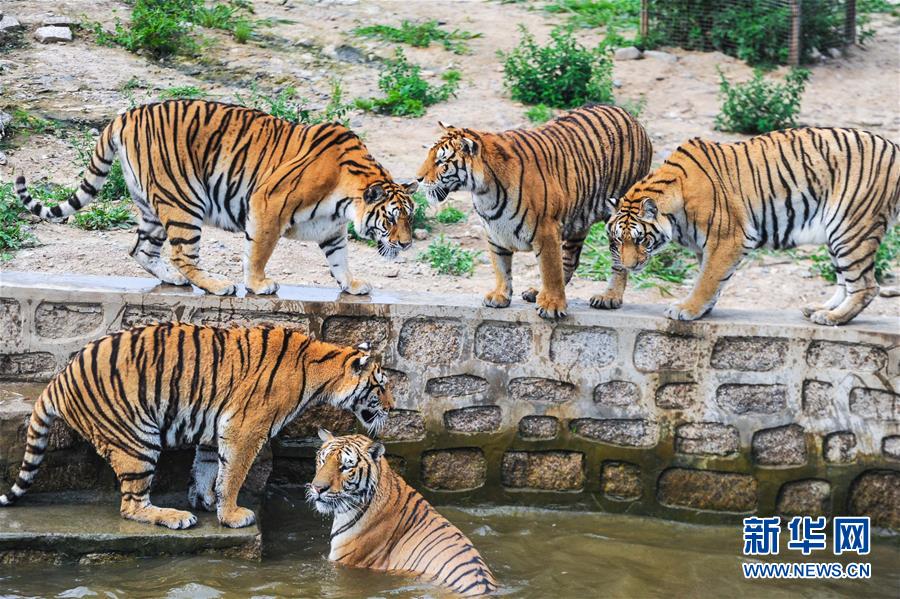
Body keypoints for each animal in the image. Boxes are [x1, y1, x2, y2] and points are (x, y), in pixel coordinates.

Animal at [0, 324, 394, 528]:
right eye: (381, 386)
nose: (392, 407)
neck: (321, 372)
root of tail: (58, 379)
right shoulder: (245, 428)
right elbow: (233, 473)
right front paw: (232, 514)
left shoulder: (215, 428)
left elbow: (209, 469)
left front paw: (207, 500)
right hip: (137, 439)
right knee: (131, 504)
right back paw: (175, 517)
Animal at [14, 101, 414, 300]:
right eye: (392, 218)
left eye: (410, 217)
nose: (408, 245)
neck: (346, 199)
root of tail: (126, 115)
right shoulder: (268, 204)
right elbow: (259, 251)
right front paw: (258, 284)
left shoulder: (332, 229)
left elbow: (339, 260)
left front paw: (352, 285)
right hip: (183, 200)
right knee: (182, 253)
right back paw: (218, 285)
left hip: (152, 206)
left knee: (141, 249)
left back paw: (173, 279)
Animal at [414, 103, 652, 318]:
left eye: (441, 161)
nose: (417, 178)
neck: (484, 192)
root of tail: (630, 115)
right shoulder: (494, 231)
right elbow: (501, 266)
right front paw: (500, 296)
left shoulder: (546, 230)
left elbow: (550, 270)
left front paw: (552, 306)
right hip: (578, 218)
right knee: (570, 260)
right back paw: (537, 292)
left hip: (618, 219)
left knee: (617, 262)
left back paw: (609, 298)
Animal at [604, 128, 900, 326]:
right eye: (618, 240)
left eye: (640, 239)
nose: (629, 266)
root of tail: (894, 147)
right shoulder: (705, 245)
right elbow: (709, 277)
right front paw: (704, 308)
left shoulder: (727, 238)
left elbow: (707, 279)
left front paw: (687, 308)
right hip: (835, 234)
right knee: (845, 281)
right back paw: (819, 308)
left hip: (850, 228)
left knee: (866, 286)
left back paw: (832, 317)